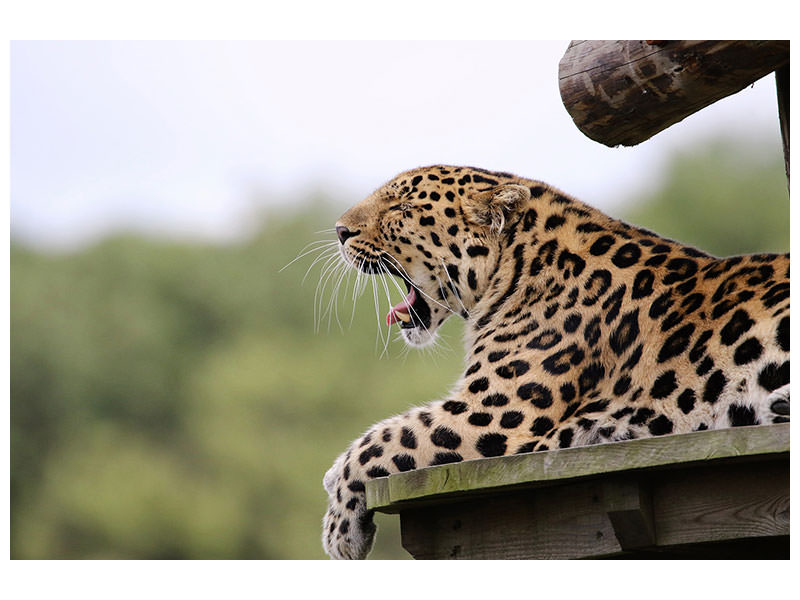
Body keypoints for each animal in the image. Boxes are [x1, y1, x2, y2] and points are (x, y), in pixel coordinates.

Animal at [321, 165, 790, 559]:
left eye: (402, 209)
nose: (341, 230)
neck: (516, 267)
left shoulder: (493, 413)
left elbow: (384, 437)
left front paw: (338, 527)